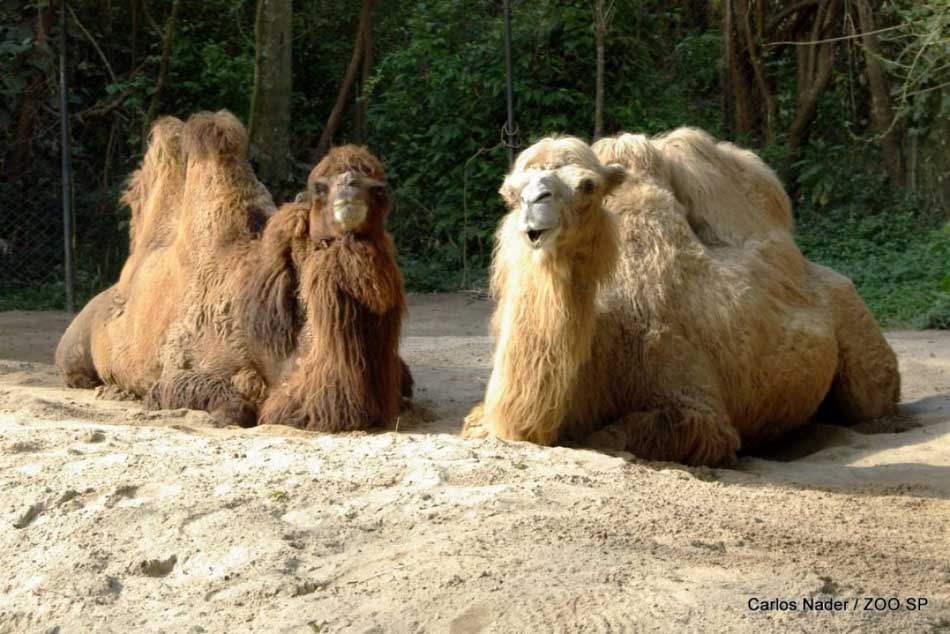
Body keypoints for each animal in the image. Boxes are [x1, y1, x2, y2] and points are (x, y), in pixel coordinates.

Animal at [464, 128, 904, 464]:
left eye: (587, 186)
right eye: (511, 192)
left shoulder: (696, 406)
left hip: (853, 320)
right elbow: (476, 424)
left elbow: (612, 437)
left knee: (871, 397)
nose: (534, 205)